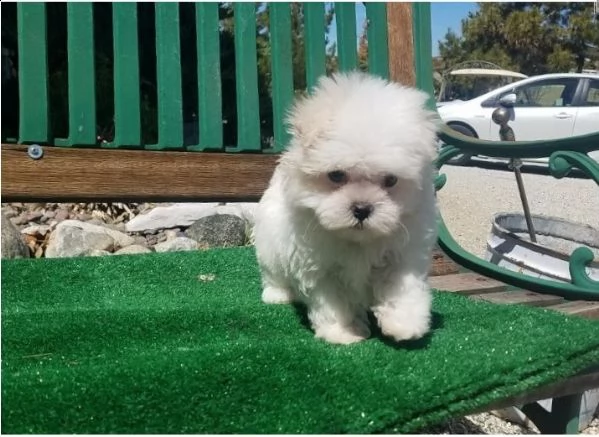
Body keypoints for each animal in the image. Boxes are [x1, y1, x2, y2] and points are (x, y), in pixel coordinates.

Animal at [251, 71, 438, 344]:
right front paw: (343, 331)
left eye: (391, 180)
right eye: (336, 175)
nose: (361, 208)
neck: (356, 241)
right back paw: (277, 294)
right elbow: (334, 301)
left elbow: (402, 286)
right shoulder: (319, 265)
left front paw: (405, 322)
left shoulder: (402, 253)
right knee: (273, 270)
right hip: (270, 240)